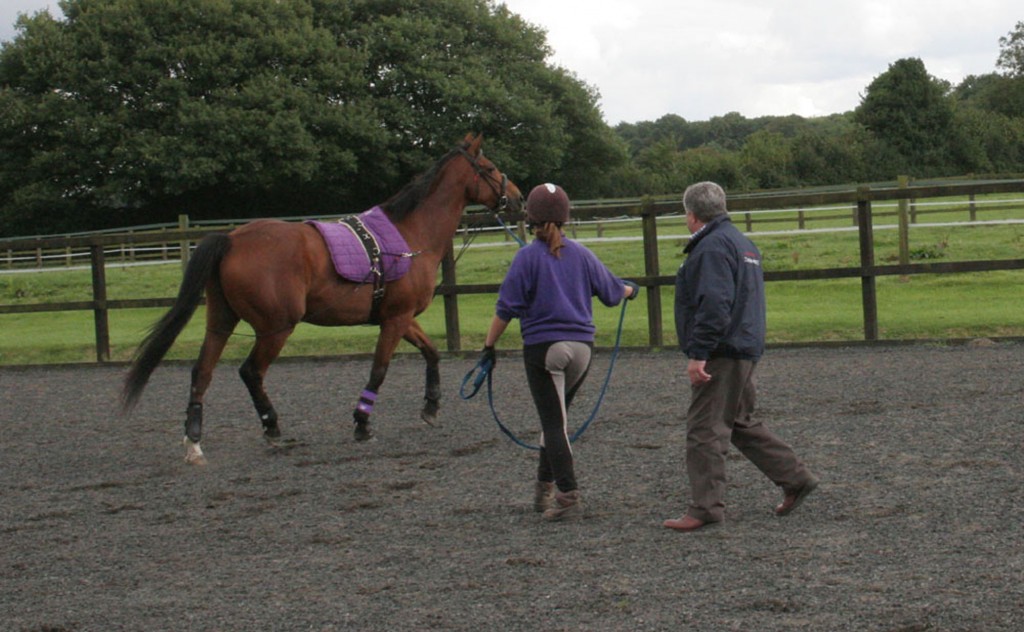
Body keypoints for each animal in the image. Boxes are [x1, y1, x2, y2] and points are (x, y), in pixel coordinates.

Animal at [123, 134, 524, 462]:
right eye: (490, 168)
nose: (519, 198)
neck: (410, 235)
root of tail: (232, 239)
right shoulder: (395, 319)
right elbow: (379, 369)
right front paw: (362, 424)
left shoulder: (400, 316)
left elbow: (432, 352)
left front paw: (431, 406)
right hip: (276, 328)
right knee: (251, 371)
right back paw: (272, 427)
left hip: (221, 321)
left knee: (202, 371)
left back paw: (194, 440)